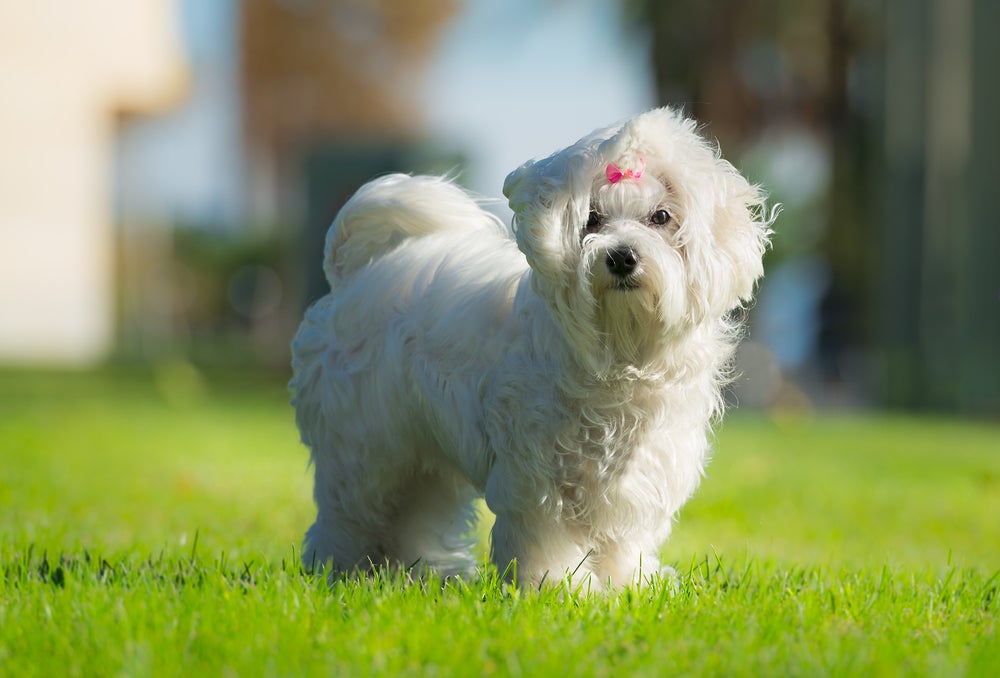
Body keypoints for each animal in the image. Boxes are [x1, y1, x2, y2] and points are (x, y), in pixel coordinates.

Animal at [290, 107, 772, 588]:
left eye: (661, 217)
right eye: (592, 219)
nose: (621, 256)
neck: (620, 349)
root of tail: (353, 276)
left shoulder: (638, 472)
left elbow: (621, 537)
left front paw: (627, 584)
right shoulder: (539, 473)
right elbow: (548, 533)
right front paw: (559, 587)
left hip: (419, 452)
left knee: (416, 509)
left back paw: (420, 572)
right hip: (363, 445)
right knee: (351, 511)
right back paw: (342, 571)